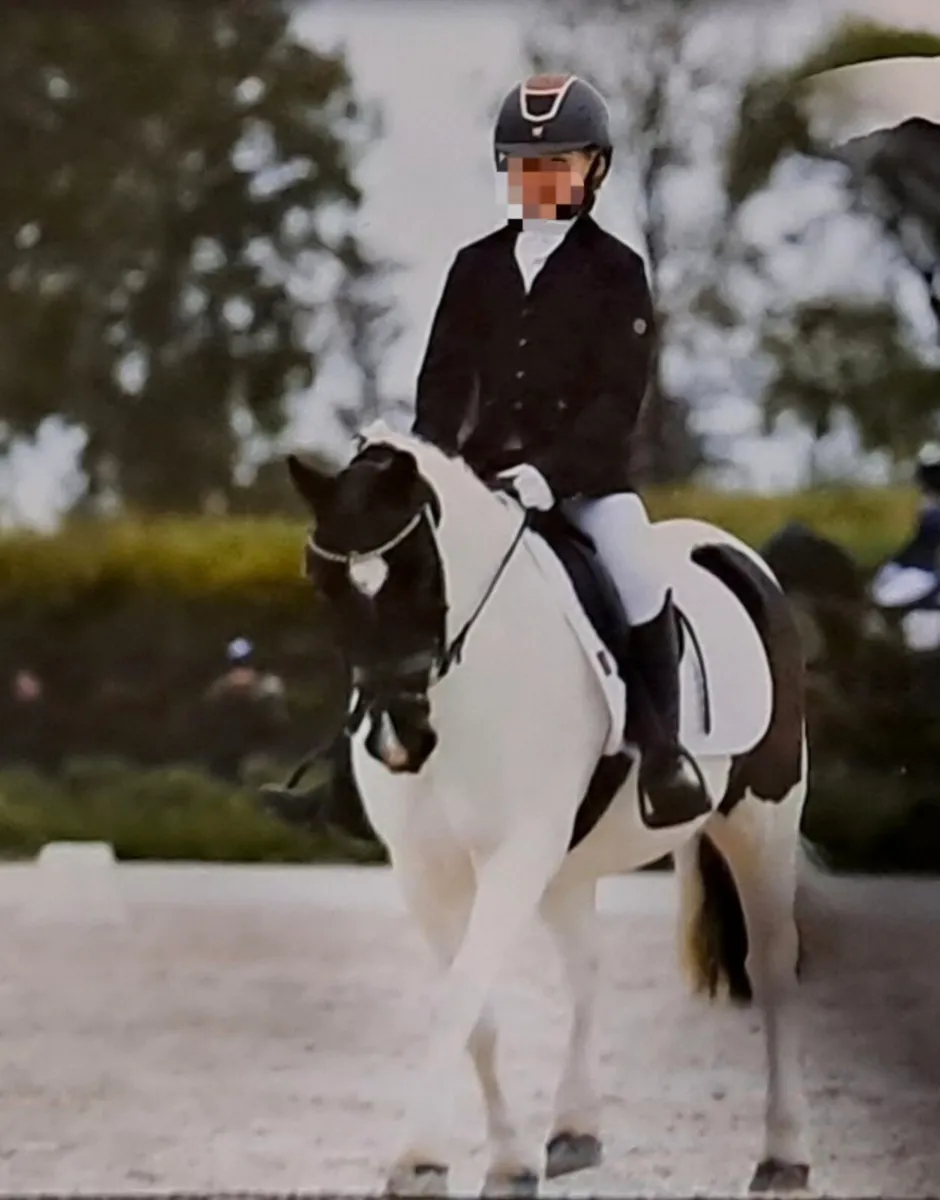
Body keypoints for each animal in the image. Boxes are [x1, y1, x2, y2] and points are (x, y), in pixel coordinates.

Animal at [287, 421, 812, 1198]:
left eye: (421, 575)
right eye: (322, 584)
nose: (395, 738)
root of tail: (726, 548)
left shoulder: (514, 855)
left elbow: (460, 998)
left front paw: (418, 1160)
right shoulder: (424, 869)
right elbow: (477, 1013)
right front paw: (506, 1162)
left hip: (762, 820)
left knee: (774, 965)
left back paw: (783, 1155)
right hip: (571, 867)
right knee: (588, 968)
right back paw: (574, 1131)